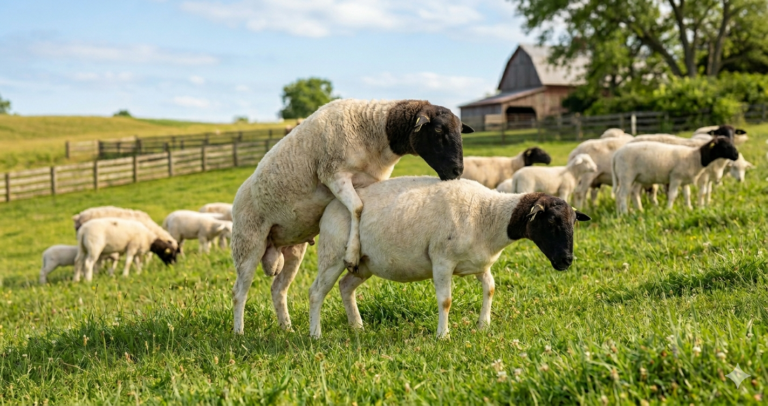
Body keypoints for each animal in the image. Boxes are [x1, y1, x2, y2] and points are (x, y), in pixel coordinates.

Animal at [232, 99, 471, 334]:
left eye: (460, 130)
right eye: (438, 129)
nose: (457, 171)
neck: (374, 129)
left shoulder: (368, 182)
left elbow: (363, 208)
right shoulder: (333, 174)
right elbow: (357, 208)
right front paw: (352, 254)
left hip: (293, 248)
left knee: (278, 289)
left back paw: (287, 328)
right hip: (248, 242)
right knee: (239, 292)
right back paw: (239, 333)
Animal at [308, 176, 591, 338]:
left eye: (574, 222)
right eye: (551, 222)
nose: (566, 261)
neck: (487, 215)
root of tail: (330, 207)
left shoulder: (481, 264)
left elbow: (490, 289)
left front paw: (483, 325)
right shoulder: (442, 261)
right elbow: (445, 301)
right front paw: (443, 335)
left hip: (363, 264)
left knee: (345, 286)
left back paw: (357, 326)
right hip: (333, 255)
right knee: (316, 292)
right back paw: (315, 334)